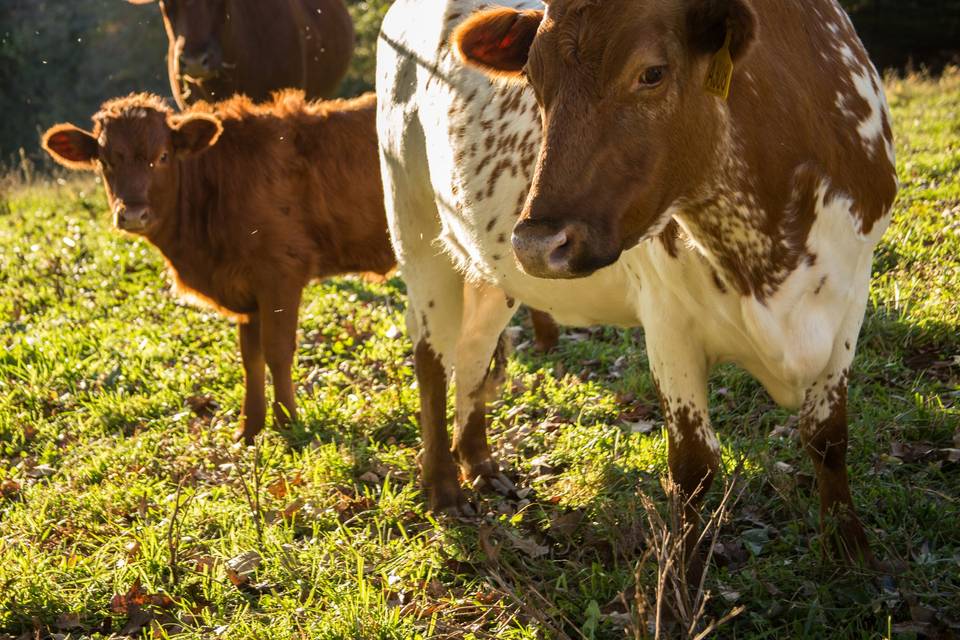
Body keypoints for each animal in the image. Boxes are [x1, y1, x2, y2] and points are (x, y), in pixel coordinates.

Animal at [43, 90, 396, 442]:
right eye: (105, 161)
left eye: (162, 156)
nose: (132, 214)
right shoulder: (245, 289)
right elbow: (251, 357)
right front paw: (249, 429)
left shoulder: (281, 272)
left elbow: (277, 350)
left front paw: (288, 424)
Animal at [376, 0, 900, 564]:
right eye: (534, 78)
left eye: (652, 73)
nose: (537, 244)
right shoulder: (669, 322)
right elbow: (693, 466)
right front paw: (683, 577)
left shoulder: (849, 298)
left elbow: (828, 436)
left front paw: (850, 551)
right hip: (415, 228)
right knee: (432, 358)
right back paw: (443, 486)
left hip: (491, 269)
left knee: (472, 352)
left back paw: (479, 463)